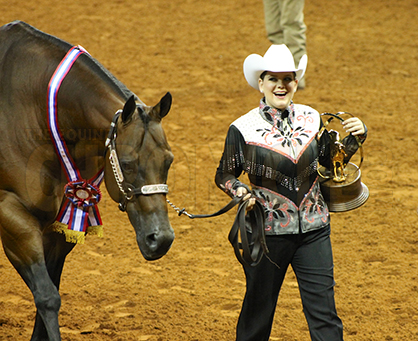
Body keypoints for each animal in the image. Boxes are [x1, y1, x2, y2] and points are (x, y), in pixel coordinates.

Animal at [0, 20, 175, 338]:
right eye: (126, 164)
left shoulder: (60, 226)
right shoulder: (12, 216)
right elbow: (47, 297)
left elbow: (49, 293)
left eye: (169, 160)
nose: (161, 239)